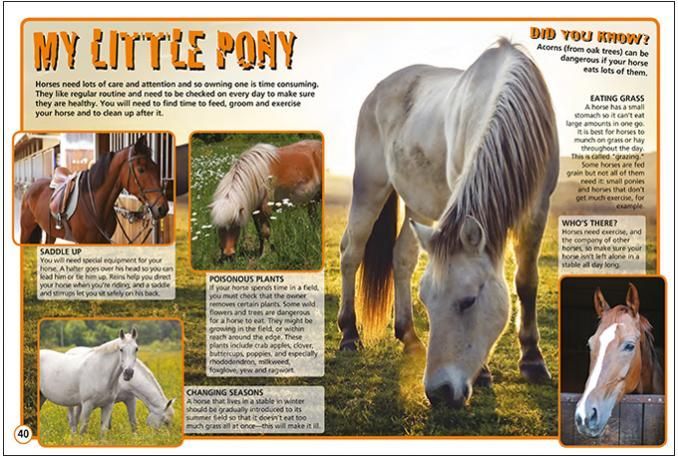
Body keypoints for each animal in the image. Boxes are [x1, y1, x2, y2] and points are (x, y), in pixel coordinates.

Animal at [20, 135, 169, 244]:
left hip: (50, 232)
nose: (163, 208)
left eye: (157, 168)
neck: (96, 205)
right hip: (26, 229)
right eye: (141, 169)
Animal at [338, 39, 559, 409]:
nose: (439, 392)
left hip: (417, 207)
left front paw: (532, 360)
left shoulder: (537, 210)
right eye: (427, 301)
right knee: (351, 253)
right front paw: (484, 373)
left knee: (402, 258)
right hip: (369, 186)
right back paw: (350, 334)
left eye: (468, 301)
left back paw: (409, 336)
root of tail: (378, 89)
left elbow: (526, 281)